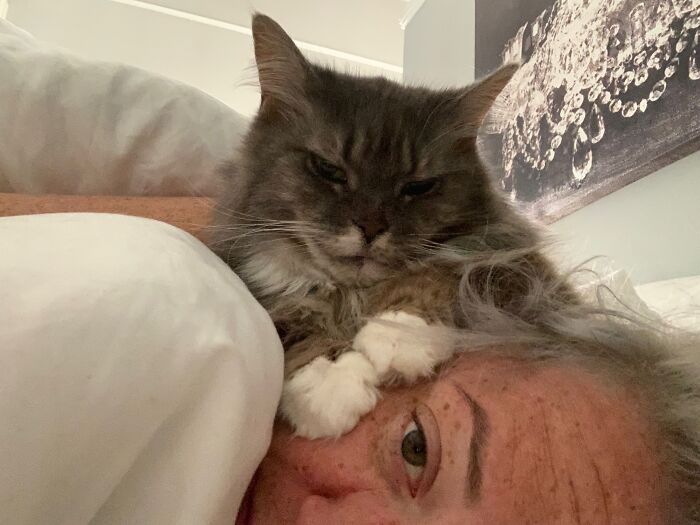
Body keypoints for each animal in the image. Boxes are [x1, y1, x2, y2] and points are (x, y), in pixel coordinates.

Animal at [209, 12, 568, 438]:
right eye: (328, 169)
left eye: (418, 186)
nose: (370, 227)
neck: (351, 295)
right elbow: (296, 323)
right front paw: (330, 385)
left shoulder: (515, 263)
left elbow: (436, 275)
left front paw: (398, 334)